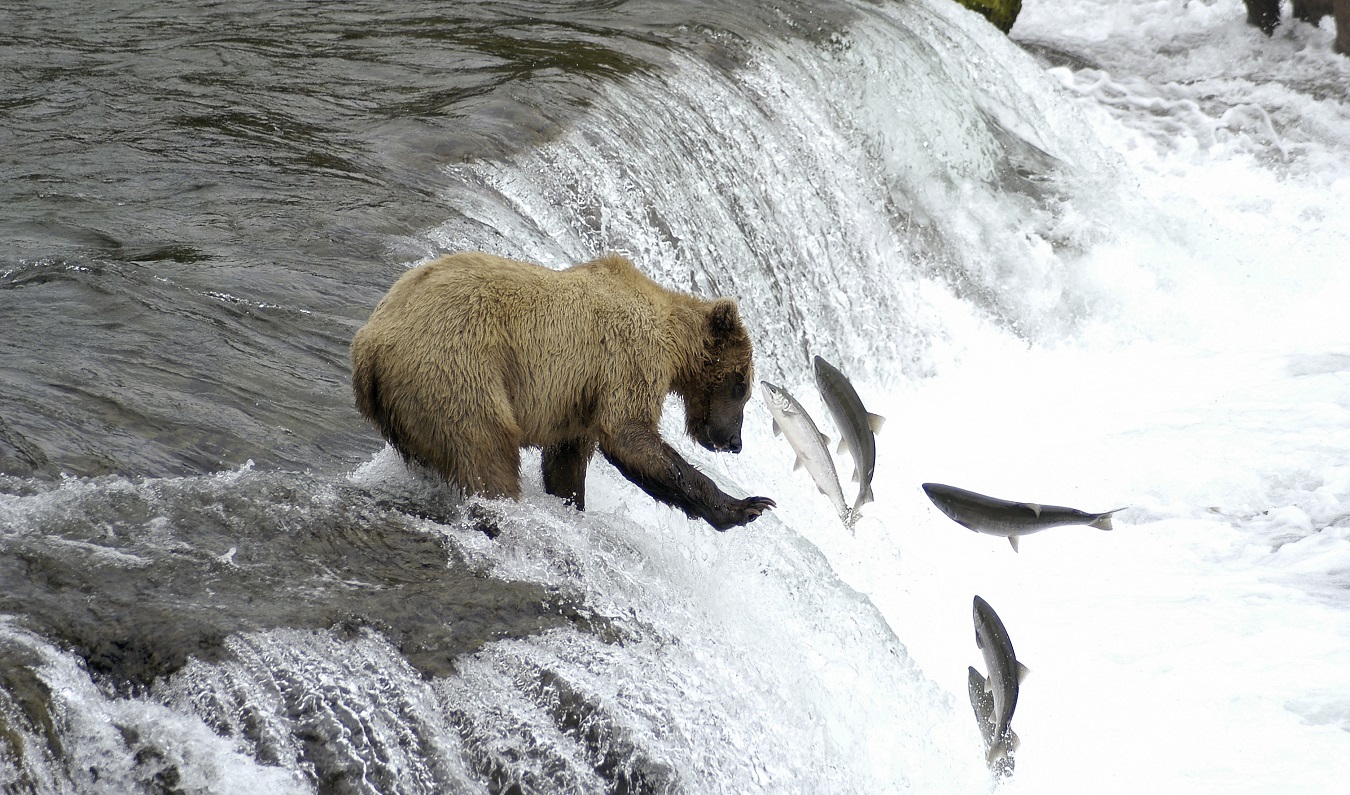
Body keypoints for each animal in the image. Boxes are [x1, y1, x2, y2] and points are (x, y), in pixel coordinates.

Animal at [348, 251, 777, 529]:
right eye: (741, 385)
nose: (734, 441)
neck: (673, 344)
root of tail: (368, 346)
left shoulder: (580, 401)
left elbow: (566, 462)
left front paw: (571, 502)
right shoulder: (629, 356)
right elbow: (628, 435)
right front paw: (747, 506)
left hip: (411, 407)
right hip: (457, 369)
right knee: (488, 449)